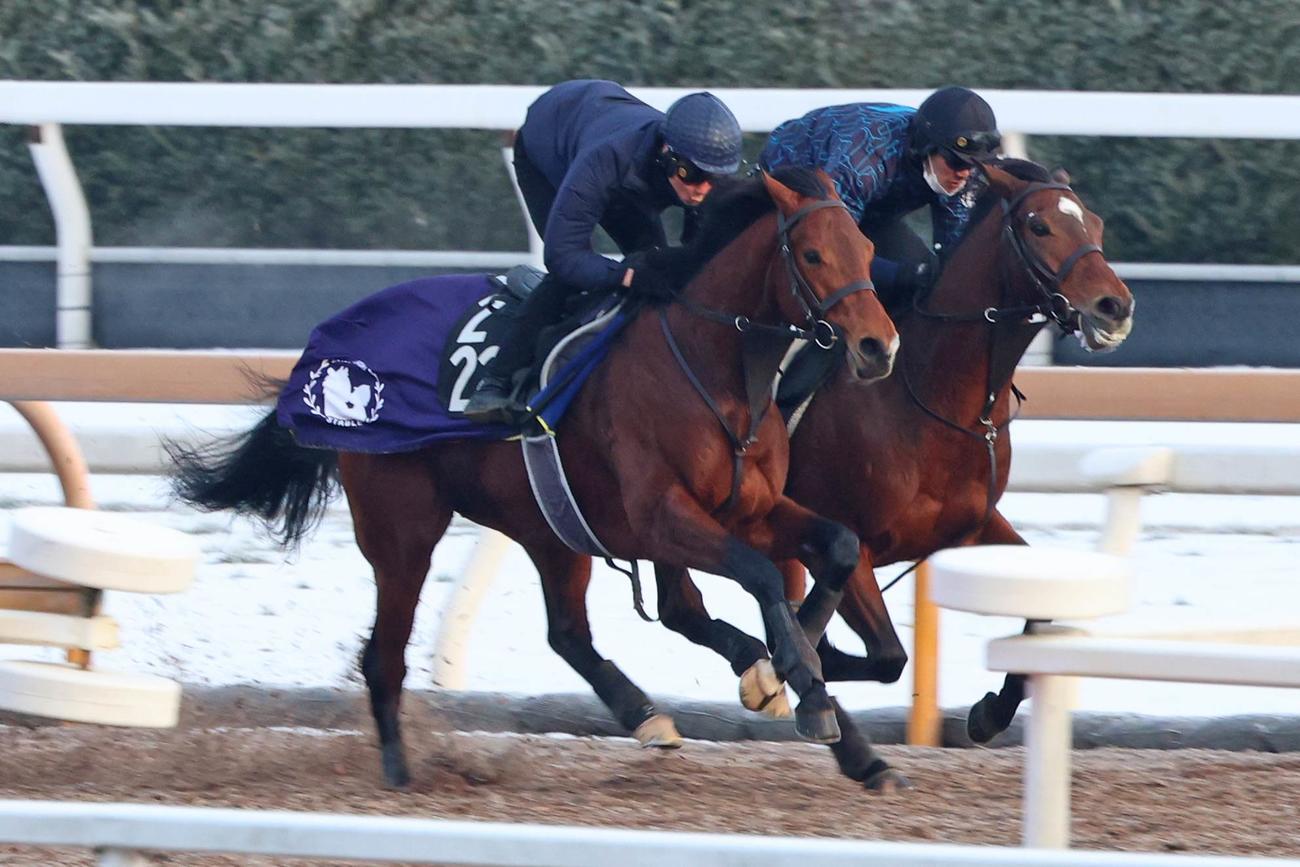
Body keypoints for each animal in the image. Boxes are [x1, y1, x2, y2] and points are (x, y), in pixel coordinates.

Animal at [168, 167, 906, 791]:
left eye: (867, 248)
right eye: (812, 255)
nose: (879, 347)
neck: (716, 371)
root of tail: (323, 349)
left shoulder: (746, 508)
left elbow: (837, 546)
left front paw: (807, 686)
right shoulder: (662, 515)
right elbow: (760, 576)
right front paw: (794, 676)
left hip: (549, 524)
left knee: (576, 630)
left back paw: (658, 714)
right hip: (404, 528)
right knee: (385, 653)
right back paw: (401, 771)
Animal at [650, 159, 1135, 750]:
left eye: (1095, 223)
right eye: (1040, 226)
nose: (1115, 307)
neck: (932, 398)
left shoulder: (971, 527)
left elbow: (1040, 619)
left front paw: (989, 712)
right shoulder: (851, 540)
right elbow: (884, 654)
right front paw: (773, 675)